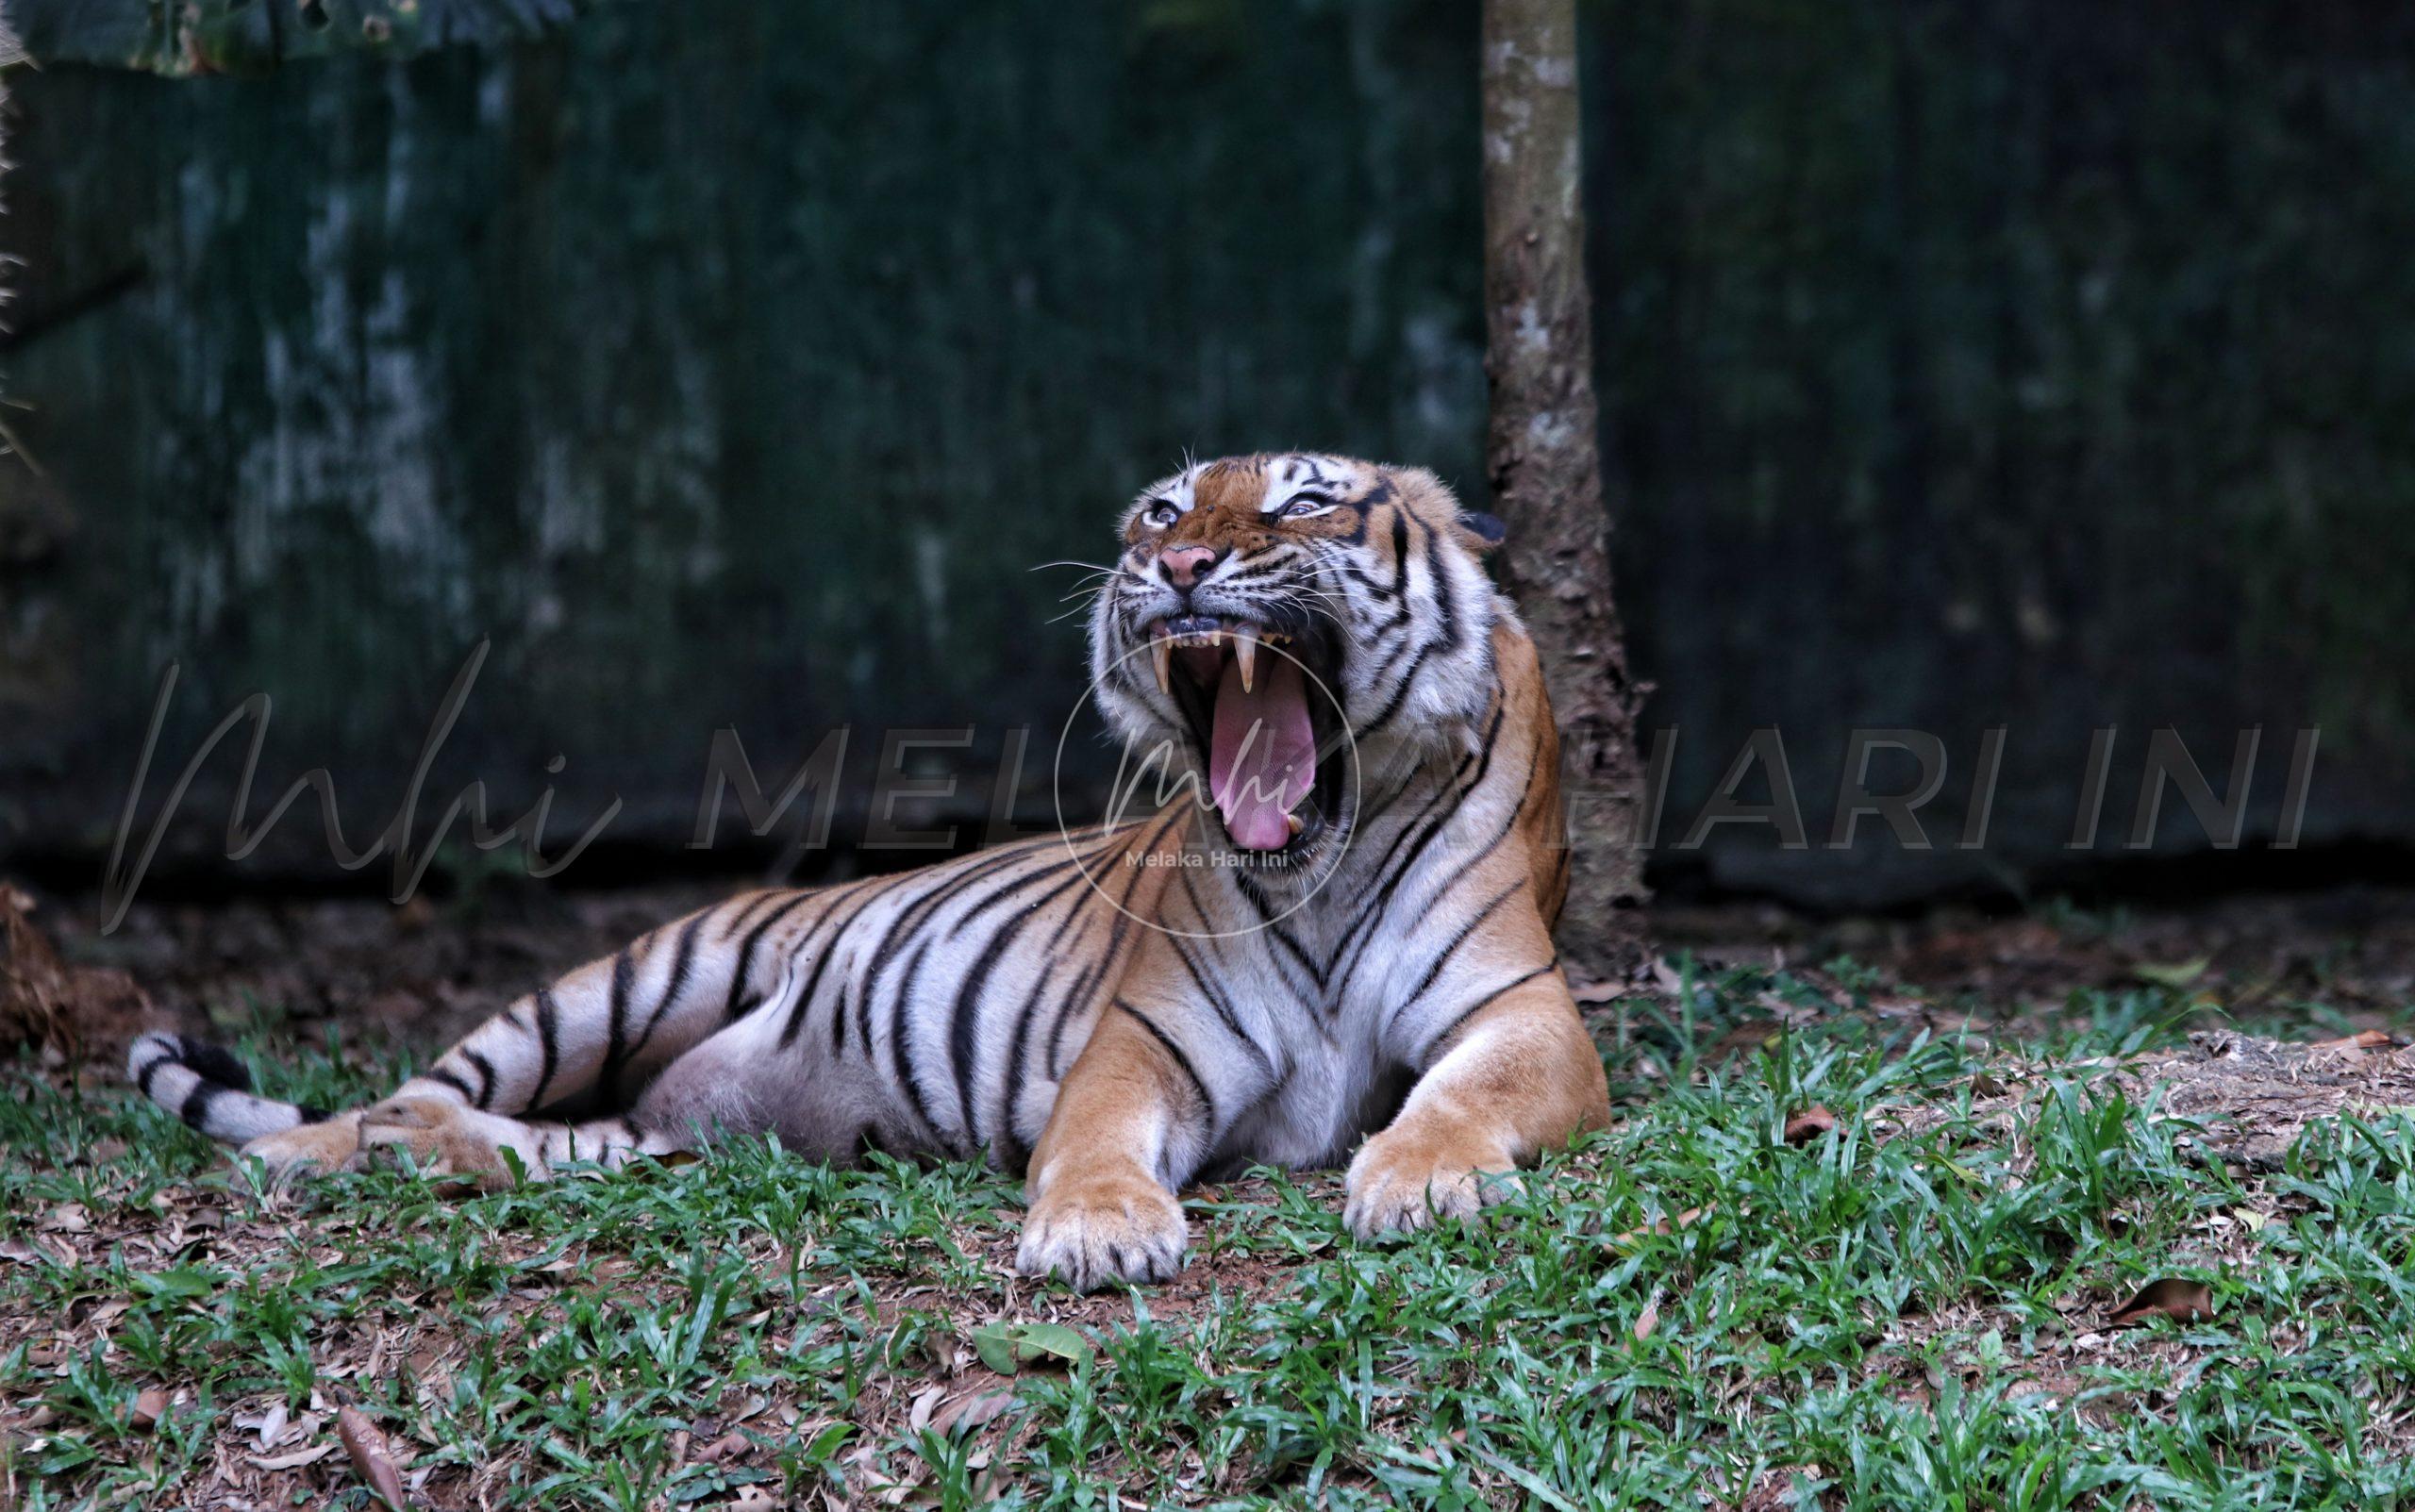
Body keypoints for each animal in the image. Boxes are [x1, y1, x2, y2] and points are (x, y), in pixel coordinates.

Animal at [127, 449, 1603, 1285]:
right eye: (1161, 508)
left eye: (1303, 498)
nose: (1174, 561)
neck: (1321, 857)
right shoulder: (1145, 1036)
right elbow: (1095, 1137)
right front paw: (1099, 1230)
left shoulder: (1520, 1012)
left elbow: (1462, 1098)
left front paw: (1421, 1178)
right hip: (629, 977)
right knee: (407, 1091)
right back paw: (309, 1153)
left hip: (629, 1129)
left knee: (505, 1138)